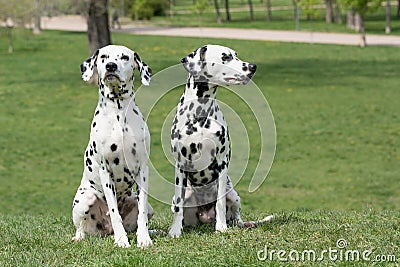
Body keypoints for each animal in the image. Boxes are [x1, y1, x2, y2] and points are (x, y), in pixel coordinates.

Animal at [72, 44, 153, 249]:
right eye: (104, 57)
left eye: (124, 57)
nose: (111, 66)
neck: (118, 113)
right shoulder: (105, 171)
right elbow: (115, 213)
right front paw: (121, 240)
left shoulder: (143, 170)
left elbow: (142, 212)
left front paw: (144, 238)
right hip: (85, 198)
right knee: (81, 227)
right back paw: (80, 236)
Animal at [169, 44, 272, 239]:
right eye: (225, 57)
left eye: (236, 55)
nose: (253, 67)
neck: (200, 114)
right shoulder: (180, 164)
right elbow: (178, 204)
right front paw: (175, 230)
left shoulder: (222, 163)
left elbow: (220, 203)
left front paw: (221, 227)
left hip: (234, 195)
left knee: (236, 217)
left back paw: (244, 224)